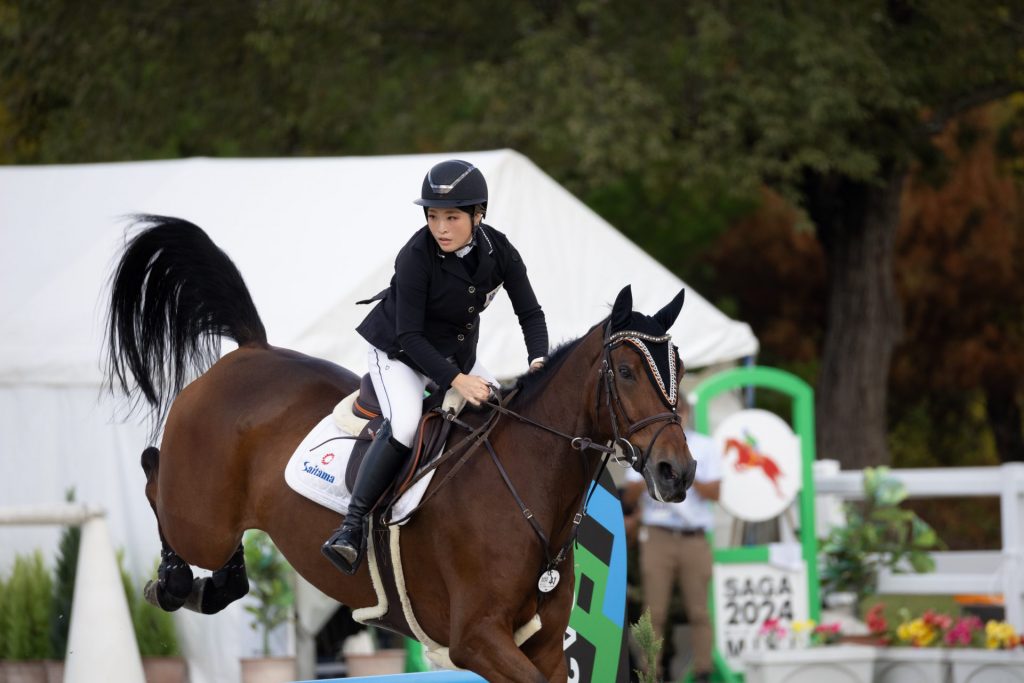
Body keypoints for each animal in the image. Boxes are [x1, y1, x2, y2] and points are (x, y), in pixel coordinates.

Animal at [105, 216, 696, 679]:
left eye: (680, 368)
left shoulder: (547, 647)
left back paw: (218, 584)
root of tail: (251, 351)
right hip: (200, 519)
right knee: (156, 477)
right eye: (625, 372)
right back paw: (175, 582)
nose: (678, 472)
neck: (527, 487)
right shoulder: (476, 639)